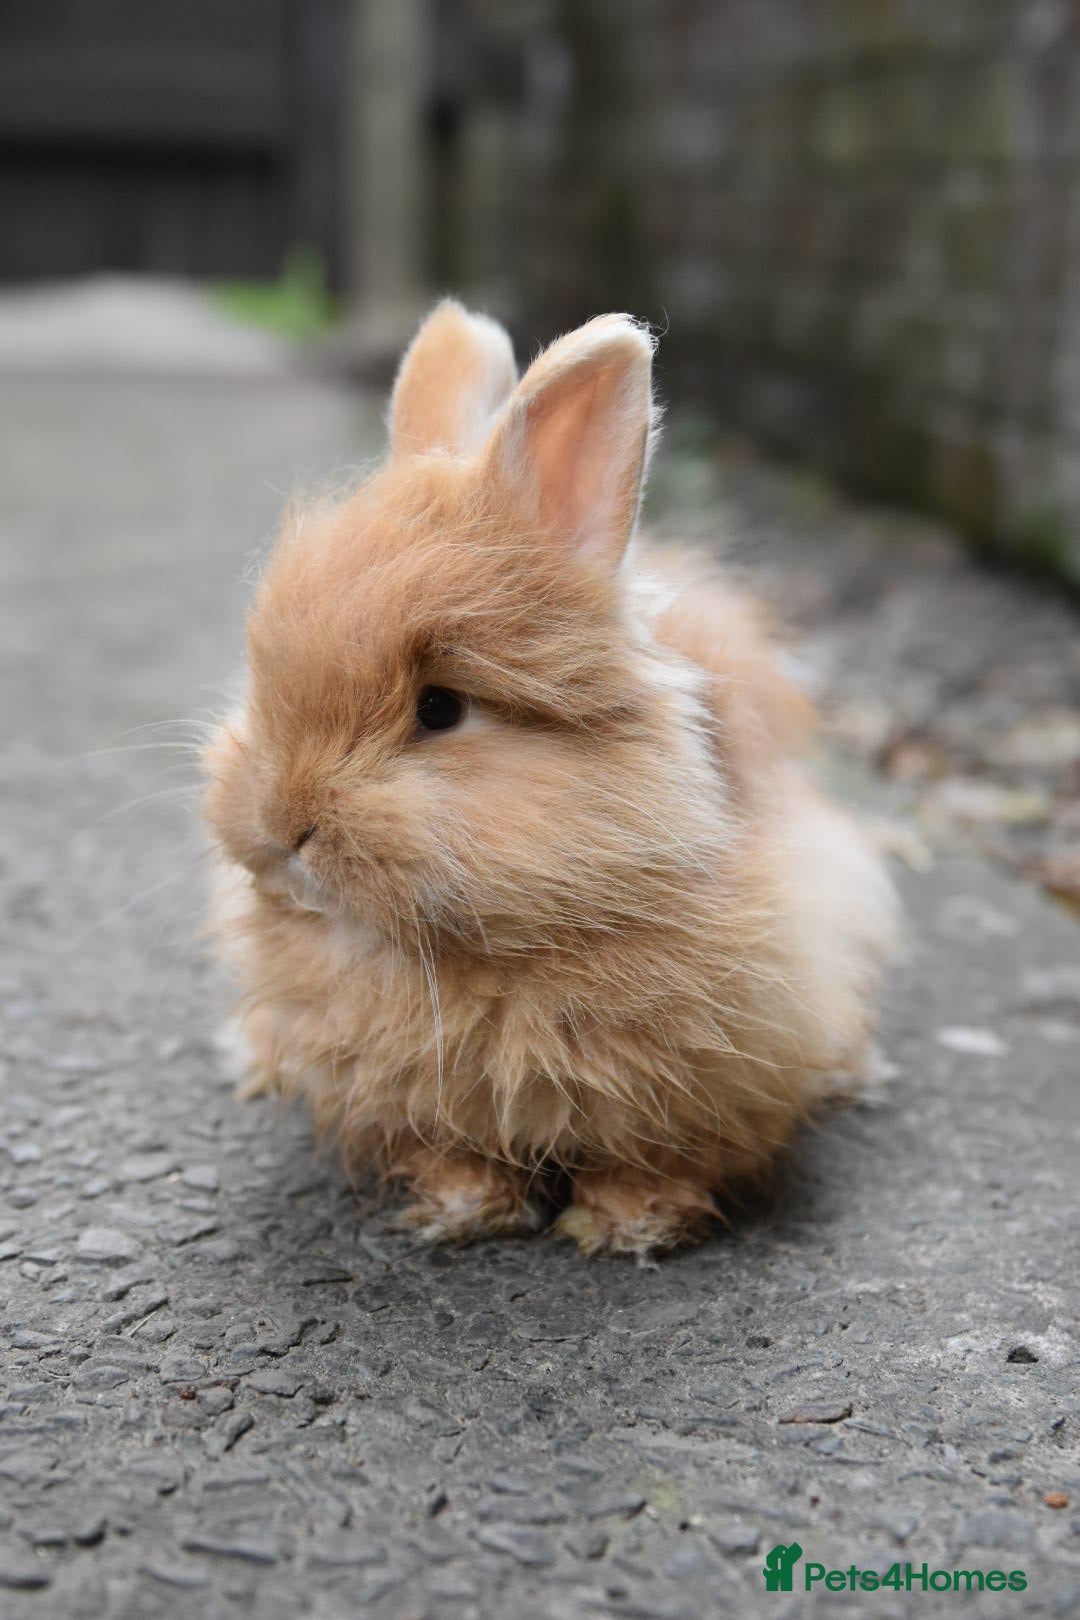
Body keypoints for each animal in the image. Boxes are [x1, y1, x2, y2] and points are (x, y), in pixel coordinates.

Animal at [203, 300, 898, 1256]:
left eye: (440, 709)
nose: (281, 826)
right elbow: (445, 1148)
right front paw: (462, 1210)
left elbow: (659, 1158)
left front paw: (627, 1226)